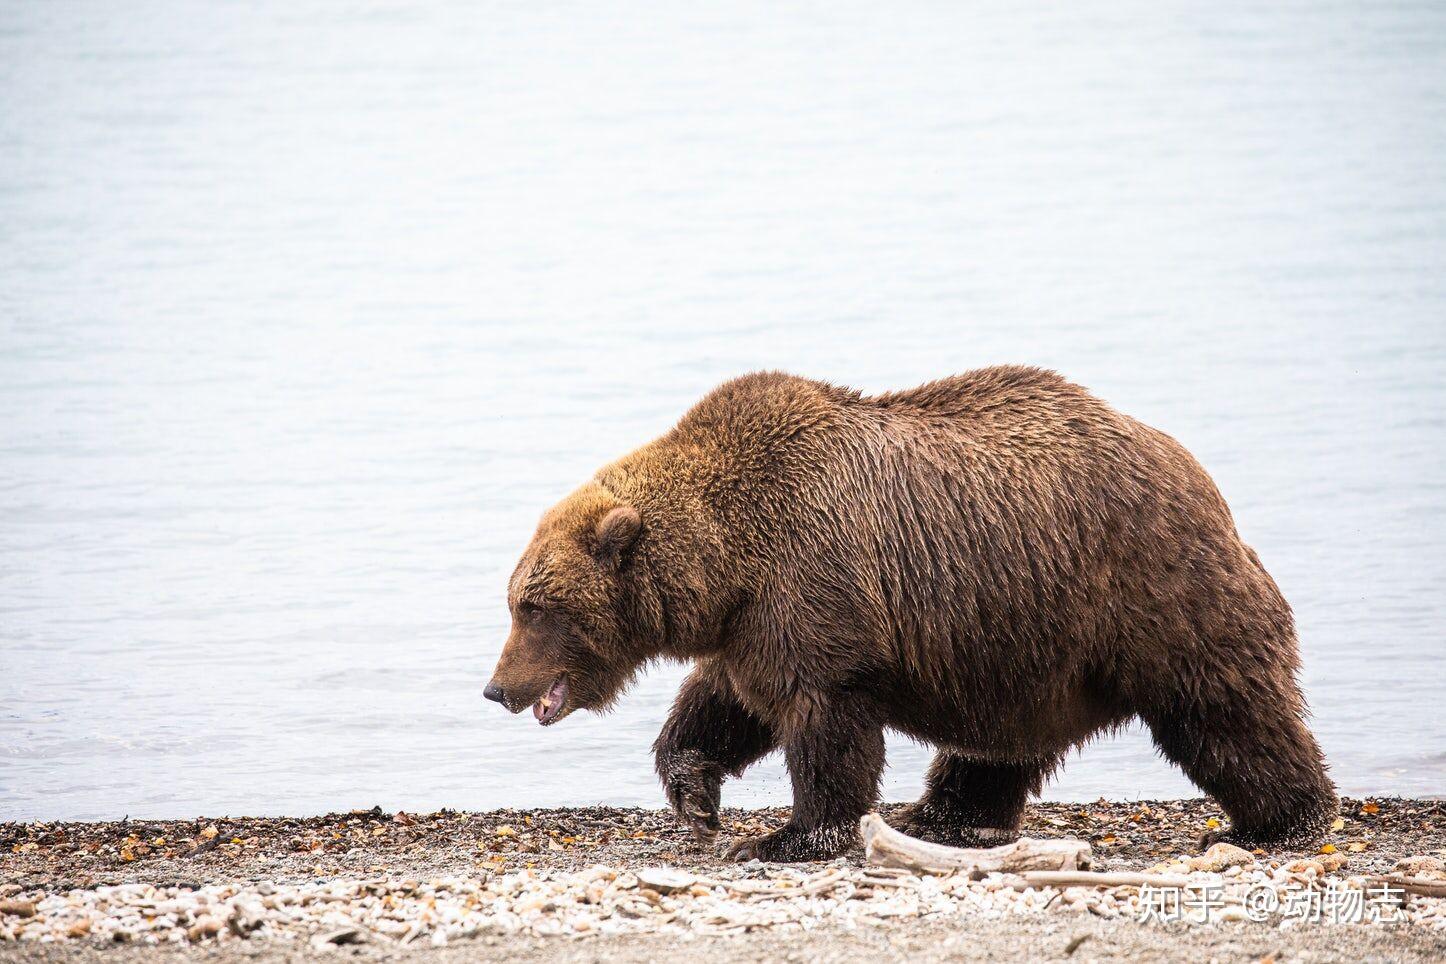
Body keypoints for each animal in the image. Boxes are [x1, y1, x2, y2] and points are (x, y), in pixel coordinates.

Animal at [482, 367, 1330, 861]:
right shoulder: (752, 624)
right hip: (1029, 632)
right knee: (1004, 740)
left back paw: (1283, 819)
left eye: (535, 603)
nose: (497, 687)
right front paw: (695, 798)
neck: (725, 562)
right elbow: (725, 705)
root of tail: (1199, 480)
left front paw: (793, 835)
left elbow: (823, 722)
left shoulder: (815, 582)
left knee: (1222, 709)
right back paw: (945, 815)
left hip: (1144, 591)